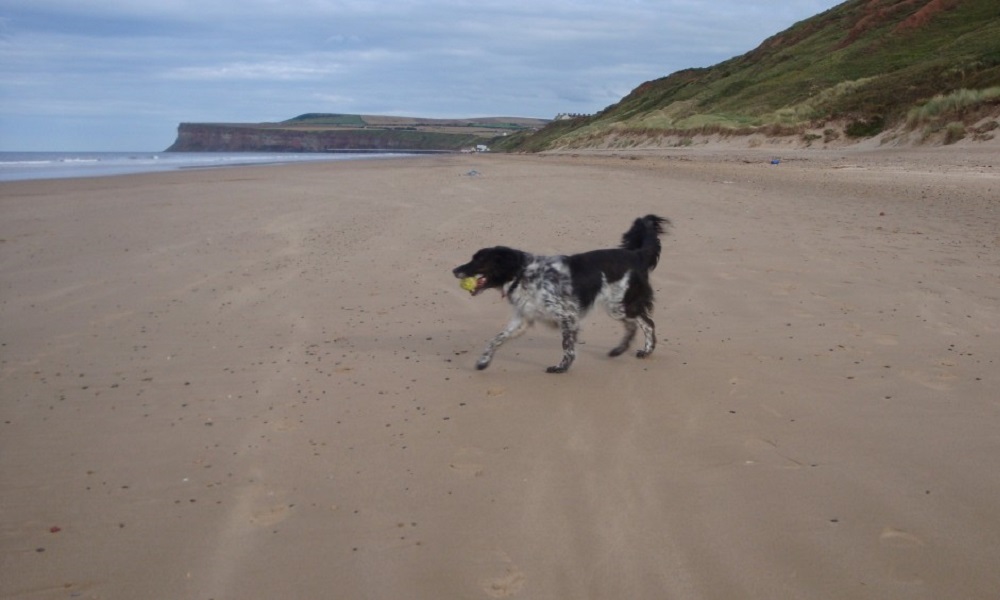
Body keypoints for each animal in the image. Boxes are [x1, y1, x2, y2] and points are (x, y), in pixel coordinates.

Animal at [456, 213, 672, 372]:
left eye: (479, 260)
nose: (454, 270)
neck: (523, 274)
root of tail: (636, 254)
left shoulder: (567, 316)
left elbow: (567, 347)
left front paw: (561, 367)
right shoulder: (522, 319)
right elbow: (496, 339)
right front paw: (483, 361)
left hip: (619, 305)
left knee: (646, 323)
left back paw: (646, 351)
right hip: (617, 306)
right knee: (633, 325)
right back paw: (619, 350)